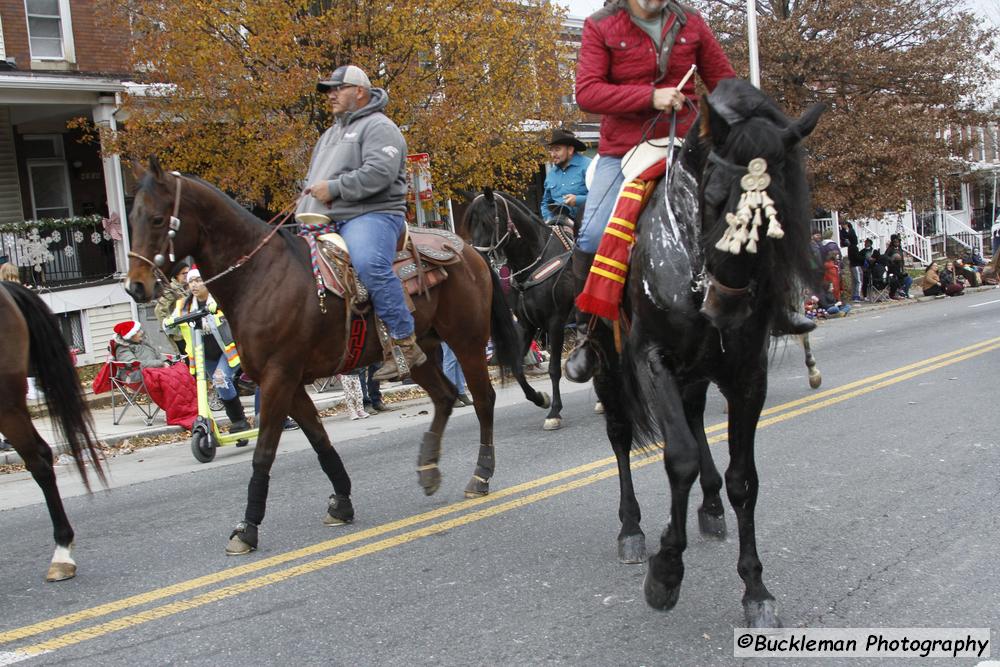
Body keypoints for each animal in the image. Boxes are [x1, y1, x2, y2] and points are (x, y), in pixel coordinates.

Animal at [123, 159, 524, 556]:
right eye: (131, 217)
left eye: (157, 219)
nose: (135, 286)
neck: (260, 277)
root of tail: (469, 250)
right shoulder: (288, 382)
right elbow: (319, 441)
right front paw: (342, 501)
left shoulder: (279, 378)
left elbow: (264, 452)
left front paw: (248, 527)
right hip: (419, 351)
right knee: (444, 397)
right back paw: (428, 467)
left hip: (467, 341)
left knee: (483, 400)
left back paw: (480, 474)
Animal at [462, 192, 580, 434]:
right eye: (470, 223)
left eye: (488, 222)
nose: (477, 257)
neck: (533, 262)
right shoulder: (526, 325)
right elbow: (516, 368)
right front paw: (540, 398)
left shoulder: (555, 322)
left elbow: (554, 368)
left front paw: (554, 412)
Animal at [588, 81, 824, 628]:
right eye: (715, 199)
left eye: (779, 210)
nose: (728, 307)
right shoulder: (651, 360)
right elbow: (680, 459)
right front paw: (666, 572)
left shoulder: (747, 375)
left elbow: (744, 479)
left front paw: (755, 589)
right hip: (609, 365)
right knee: (621, 436)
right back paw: (631, 529)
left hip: (697, 372)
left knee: (696, 421)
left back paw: (711, 507)